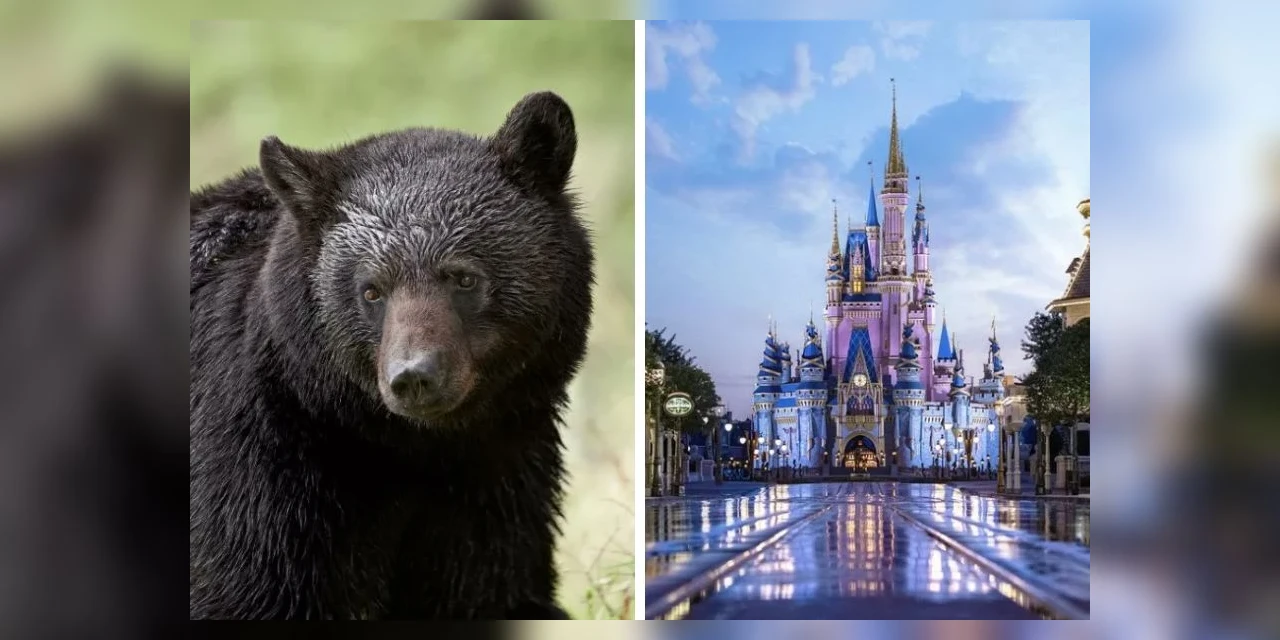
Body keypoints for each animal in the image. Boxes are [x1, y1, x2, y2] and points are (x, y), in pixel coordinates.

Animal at [188, 92, 593, 620]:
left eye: (463, 277)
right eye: (372, 290)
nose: (414, 376)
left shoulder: (498, 474)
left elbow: (493, 588)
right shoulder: (256, 468)